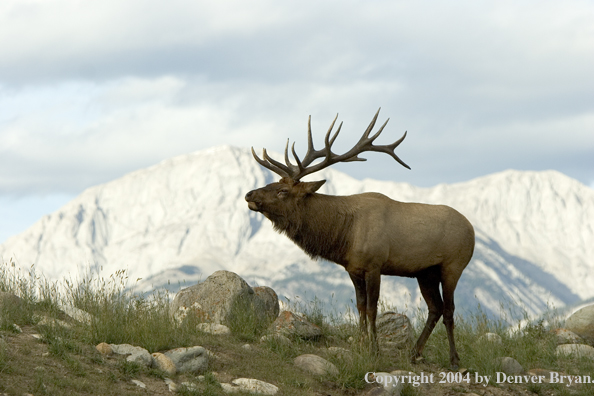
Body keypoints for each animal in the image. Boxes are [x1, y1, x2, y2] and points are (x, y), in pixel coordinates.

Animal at [244, 108, 472, 368]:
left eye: (283, 191)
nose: (249, 194)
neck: (345, 235)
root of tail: (472, 228)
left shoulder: (375, 265)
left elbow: (373, 309)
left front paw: (374, 350)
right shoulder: (353, 268)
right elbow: (361, 306)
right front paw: (362, 345)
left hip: (453, 265)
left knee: (449, 310)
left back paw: (454, 359)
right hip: (425, 272)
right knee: (435, 308)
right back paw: (414, 353)